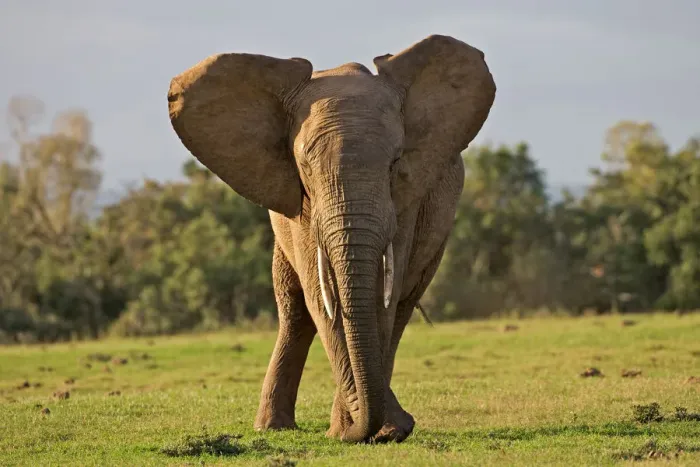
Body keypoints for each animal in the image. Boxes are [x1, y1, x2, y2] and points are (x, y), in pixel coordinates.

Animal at [167, 34, 496, 443]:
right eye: (305, 167)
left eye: (395, 163)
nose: (404, 424)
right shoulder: (301, 206)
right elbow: (320, 297)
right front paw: (359, 431)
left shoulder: (406, 199)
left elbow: (381, 296)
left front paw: (378, 431)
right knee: (294, 308)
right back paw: (274, 427)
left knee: (401, 306)